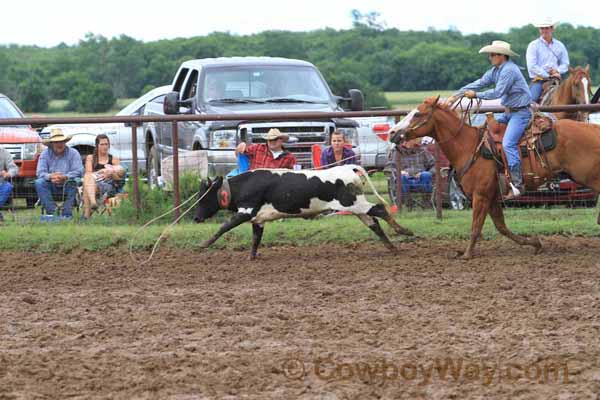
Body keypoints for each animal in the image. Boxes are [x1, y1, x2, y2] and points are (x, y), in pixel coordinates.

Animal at [196, 163, 412, 260]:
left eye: (203, 197)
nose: (197, 217)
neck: (241, 186)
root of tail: (348, 168)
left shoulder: (247, 211)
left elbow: (225, 227)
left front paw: (204, 243)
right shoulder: (258, 219)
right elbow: (256, 238)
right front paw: (252, 257)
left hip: (354, 204)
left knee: (379, 209)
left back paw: (403, 231)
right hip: (357, 207)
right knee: (374, 223)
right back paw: (392, 246)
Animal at [392, 97, 600, 260]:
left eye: (417, 114)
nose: (393, 133)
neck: (468, 146)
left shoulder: (481, 195)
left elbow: (476, 226)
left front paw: (467, 254)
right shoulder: (491, 197)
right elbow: (501, 227)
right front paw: (535, 244)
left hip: (589, 177)